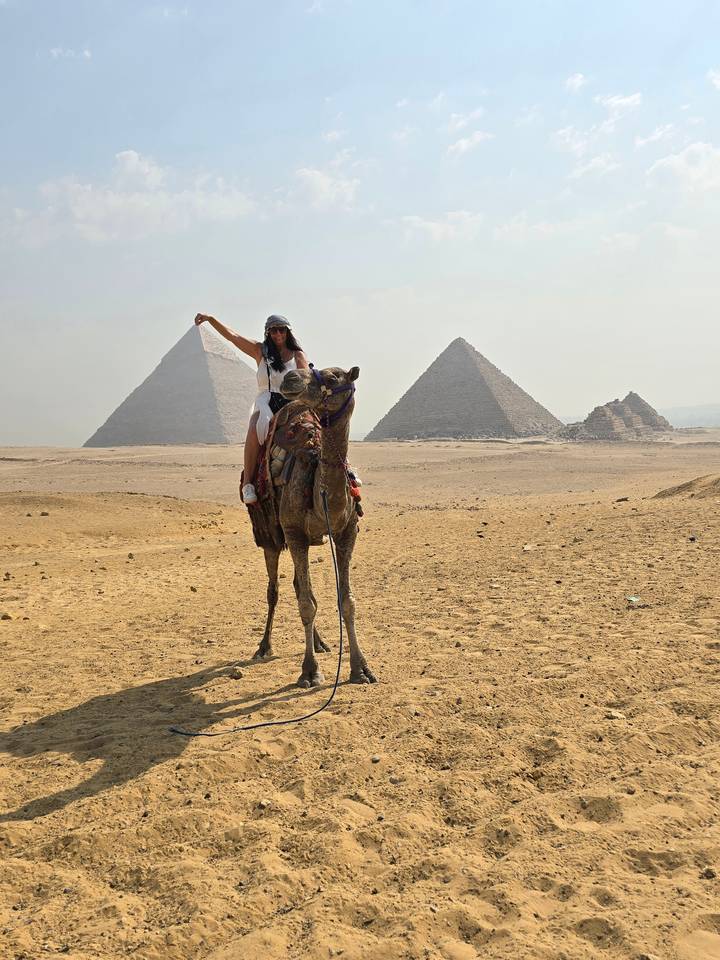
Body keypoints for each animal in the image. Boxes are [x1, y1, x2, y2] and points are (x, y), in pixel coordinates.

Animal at [247, 364, 377, 689]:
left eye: (333, 378)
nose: (291, 378)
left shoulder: (346, 533)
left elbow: (347, 601)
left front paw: (360, 669)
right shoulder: (294, 533)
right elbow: (307, 603)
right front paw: (309, 671)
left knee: (297, 586)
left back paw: (320, 642)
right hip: (270, 536)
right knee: (274, 589)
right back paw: (264, 647)